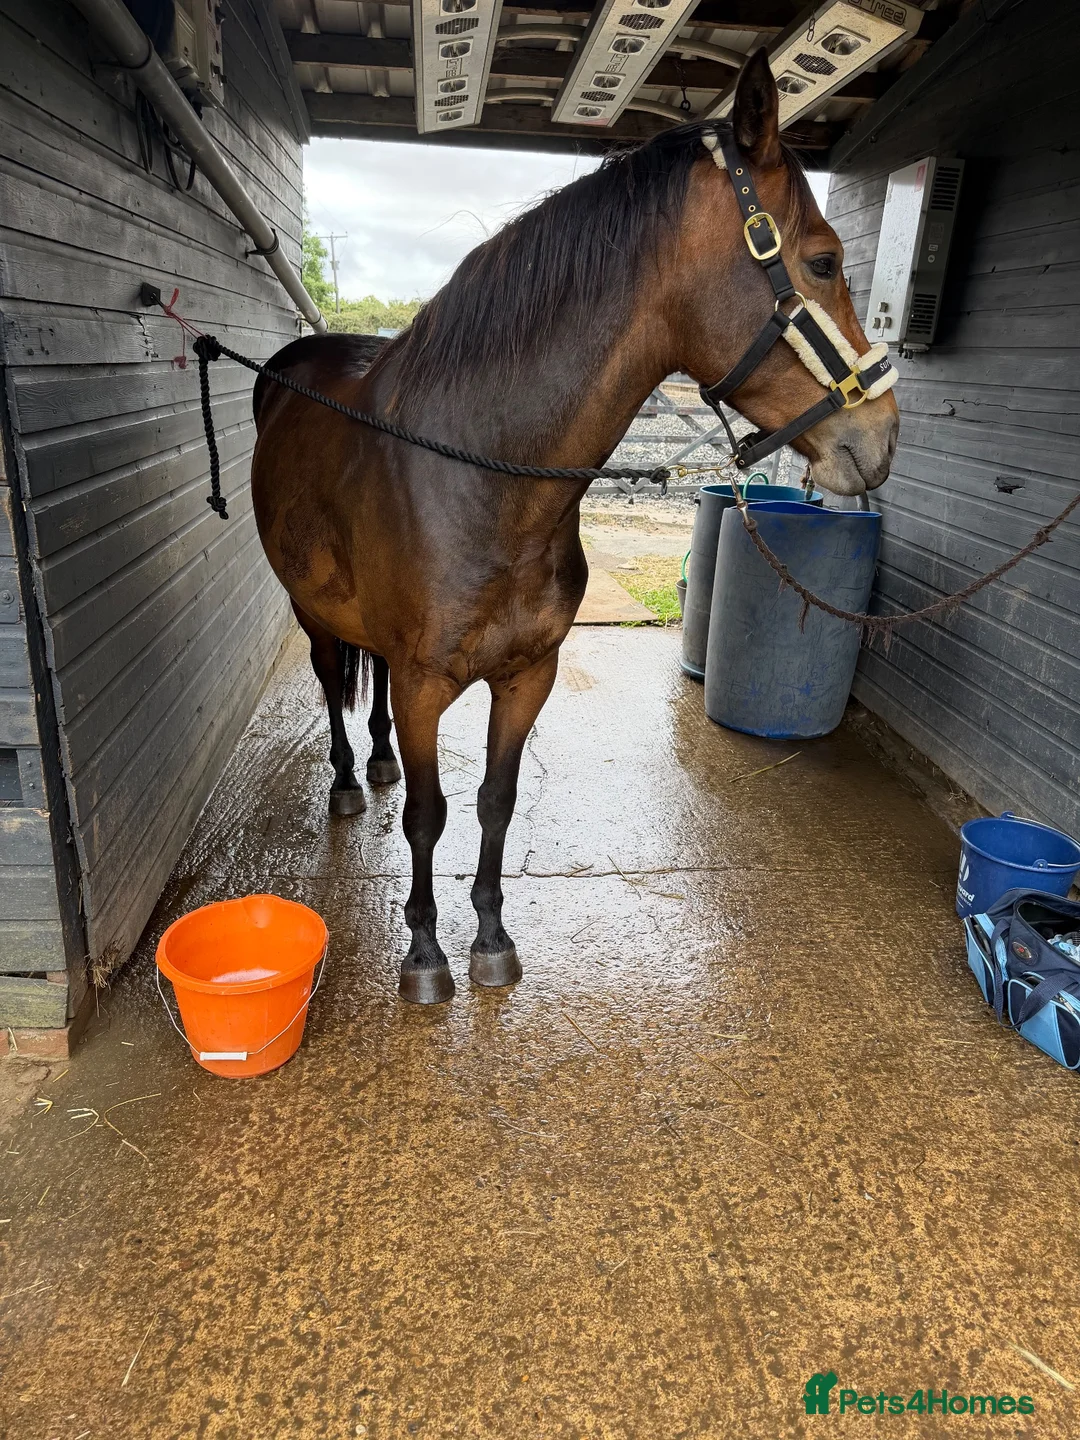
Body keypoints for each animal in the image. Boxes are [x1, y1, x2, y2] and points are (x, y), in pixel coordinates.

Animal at [250, 51, 900, 1005]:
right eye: (822, 260)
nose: (880, 437)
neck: (483, 481)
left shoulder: (529, 675)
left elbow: (494, 800)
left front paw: (489, 938)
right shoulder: (423, 684)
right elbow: (428, 817)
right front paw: (424, 952)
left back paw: (377, 760)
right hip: (311, 610)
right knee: (335, 685)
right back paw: (343, 782)